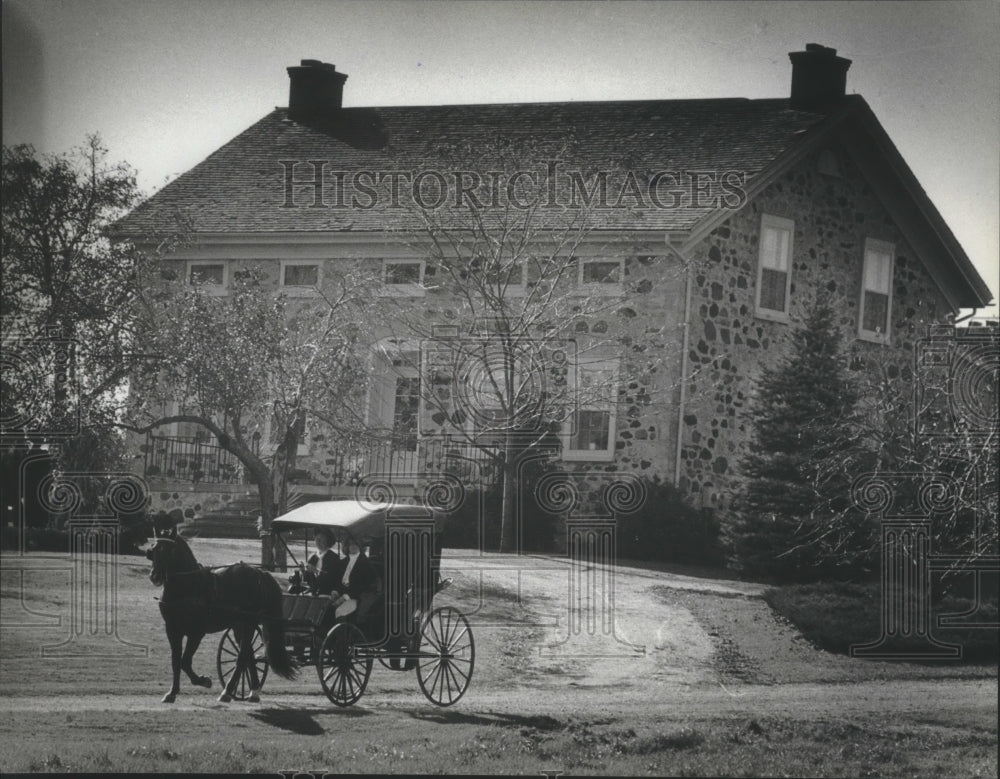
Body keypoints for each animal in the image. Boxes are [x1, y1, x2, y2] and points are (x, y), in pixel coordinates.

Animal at [144, 532, 296, 704]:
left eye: (170, 551)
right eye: (153, 550)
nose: (155, 576)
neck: (188, 585)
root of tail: (260, 573)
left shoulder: (196, 633)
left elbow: (185, 661)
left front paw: (203, 680)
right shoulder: (172, 630)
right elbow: (176, 661)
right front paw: (172, 692)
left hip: (248, 623)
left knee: (242, 657)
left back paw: (227, 691)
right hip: (239, 626)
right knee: (248, 655)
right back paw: (253, 692)